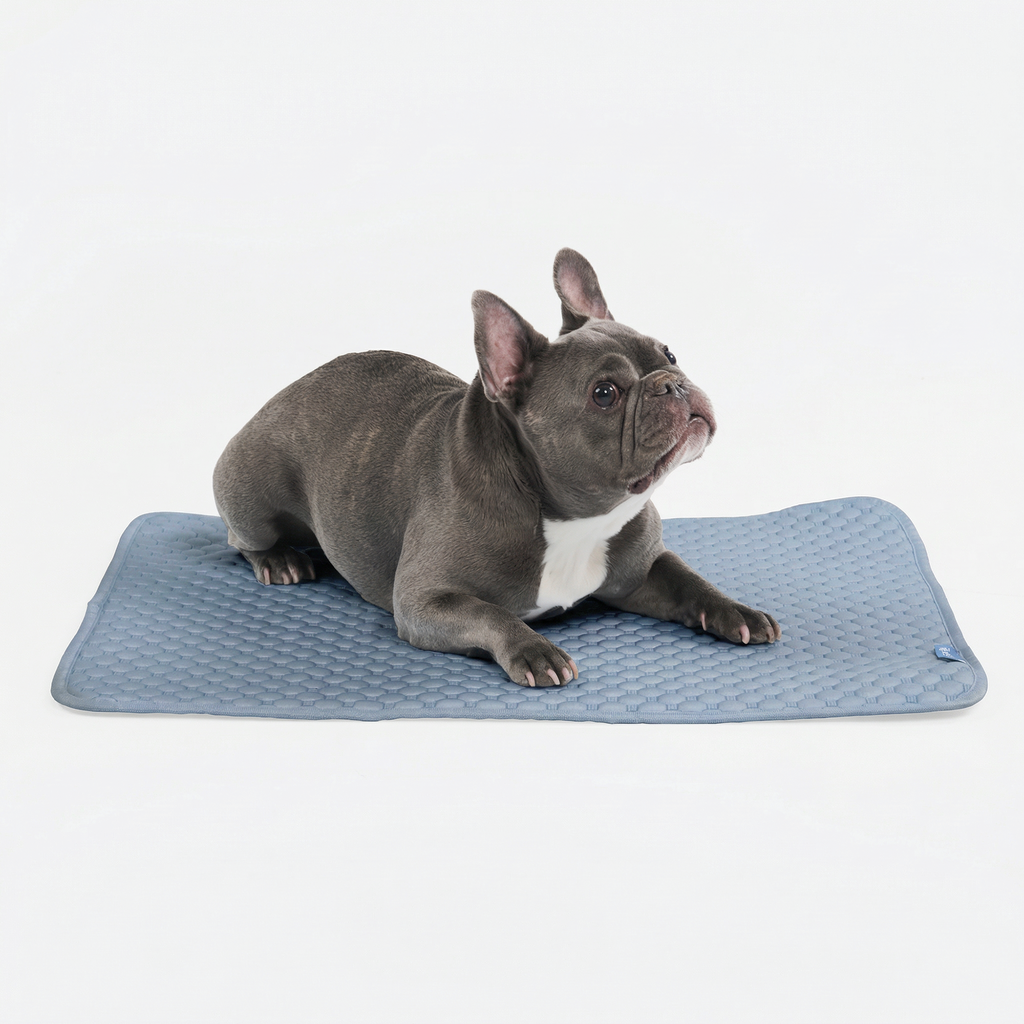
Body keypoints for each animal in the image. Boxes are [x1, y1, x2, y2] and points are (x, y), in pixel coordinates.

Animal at [213, 249, 780, 687]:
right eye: (605, 394)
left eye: (670, 353)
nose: (672, 383)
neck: (574, 519)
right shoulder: (423, 601)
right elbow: (487, 612)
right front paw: (534, 650)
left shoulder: (641, 570)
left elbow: (689, 579)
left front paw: (736, 609)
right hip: (251, 491)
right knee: (241, 538)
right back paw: (279, 561)